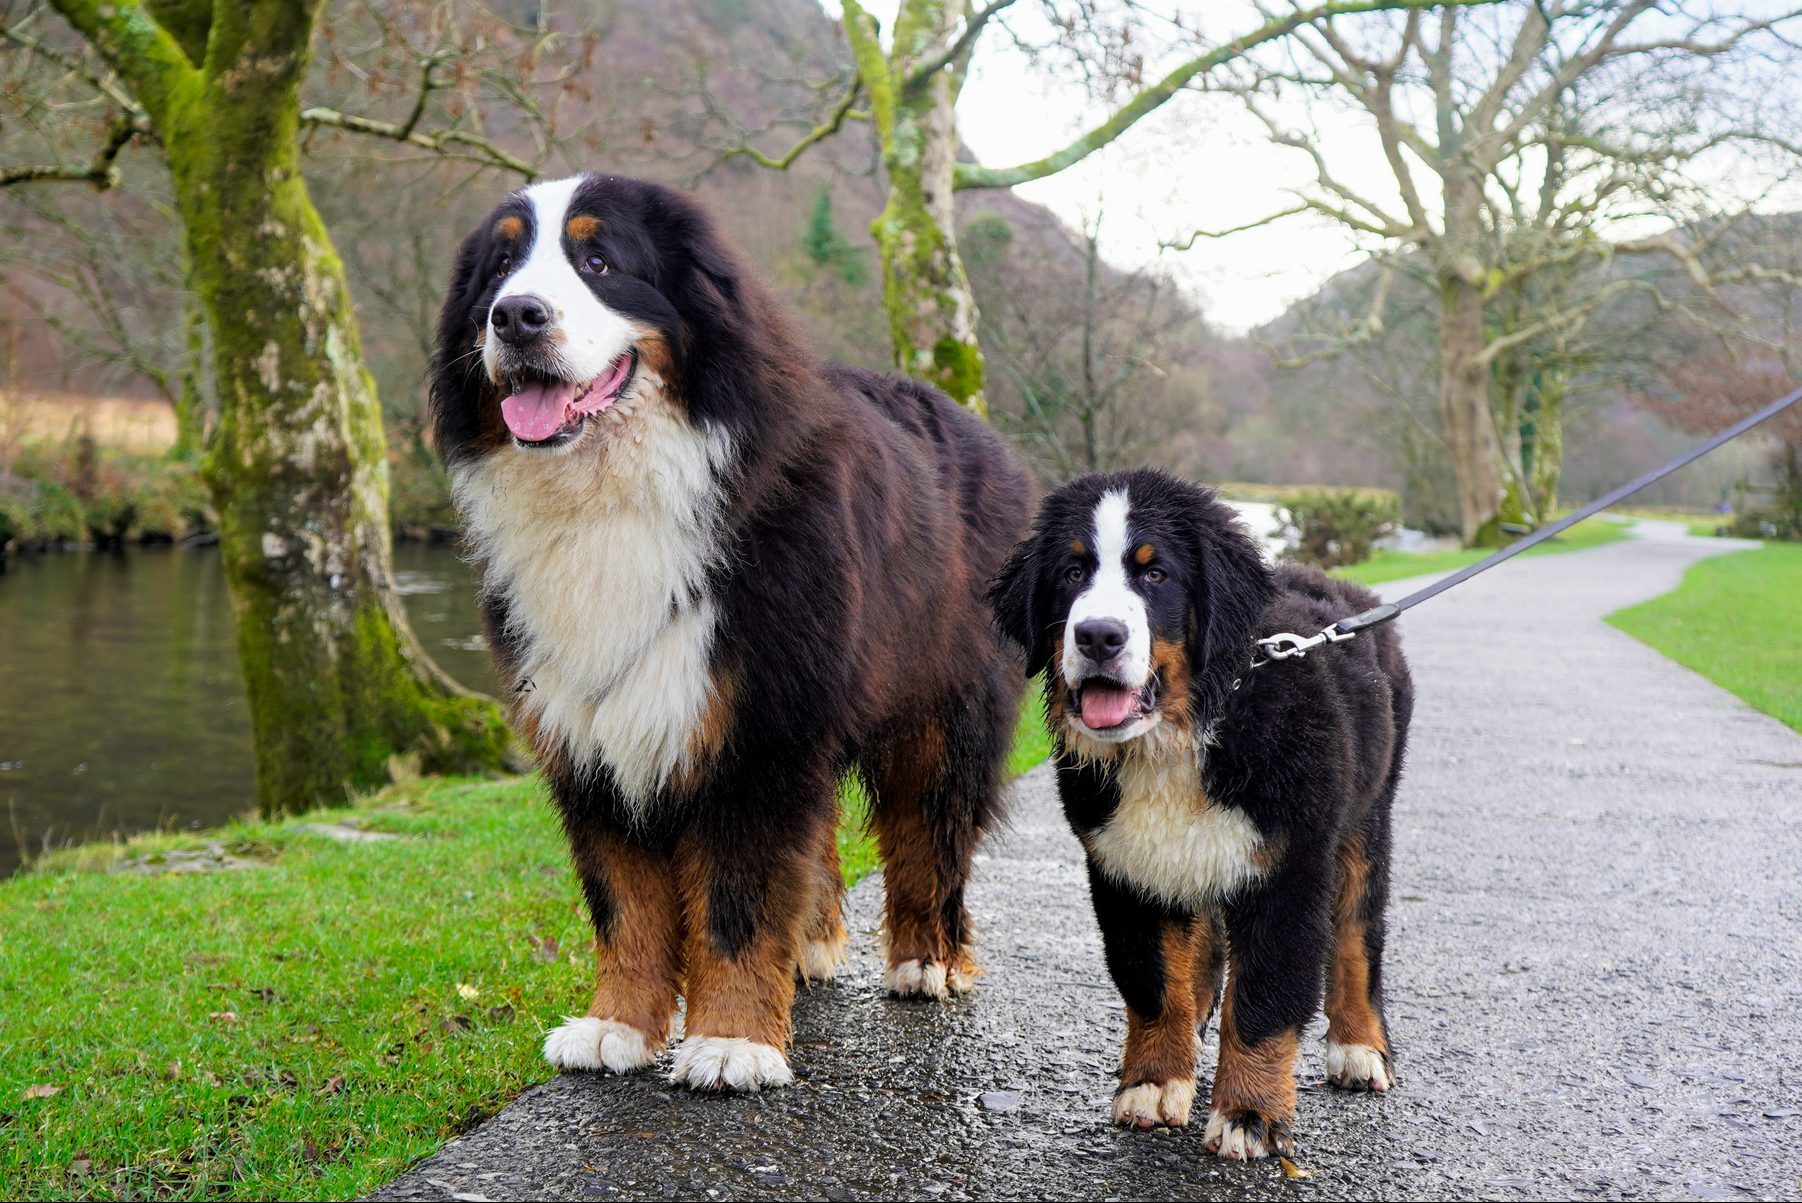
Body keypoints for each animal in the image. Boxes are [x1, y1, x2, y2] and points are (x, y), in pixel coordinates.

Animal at [427, 176, 1037, 1087]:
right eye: (499, 267)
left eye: (598, 260)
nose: (516, 316)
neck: (613, 501)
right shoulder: (590, 730)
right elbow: (624, 899)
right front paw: (617, 1025)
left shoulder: (759, 727)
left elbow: (737, 897)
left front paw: (732, 1040)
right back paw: (812, 947)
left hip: (943, 708)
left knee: (931, 829)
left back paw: (927, 957)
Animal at [994, 468, 1412, 1152]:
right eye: (1071, 572)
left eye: (1155, 574)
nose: (1098, 636)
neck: (1177, 742)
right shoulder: (1125, 868)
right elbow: (1152, 980)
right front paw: (1155, 1082)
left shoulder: (1288, 868)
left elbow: (1265, 997)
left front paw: (1250, 1114)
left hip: (1365, 819)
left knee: (1357, 932)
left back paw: (1359, 1046)